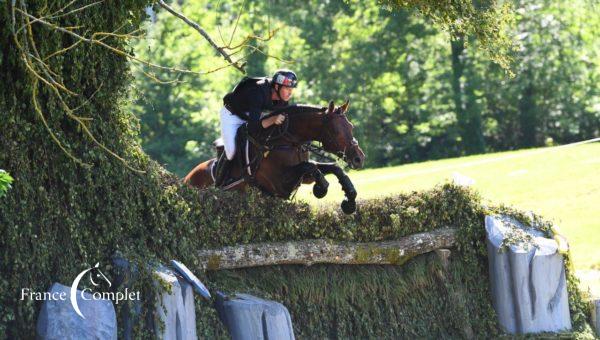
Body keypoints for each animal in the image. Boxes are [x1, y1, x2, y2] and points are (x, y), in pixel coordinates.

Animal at [183, 99, 364, 214]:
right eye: (335, 131)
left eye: (351, 127)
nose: (359, 159)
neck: (288, 140)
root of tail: (185, 179)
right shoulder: (280, 185)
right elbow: (311, 166)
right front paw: (321, 189)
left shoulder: (304, 178)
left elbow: (332, 168)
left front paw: (349, 201)